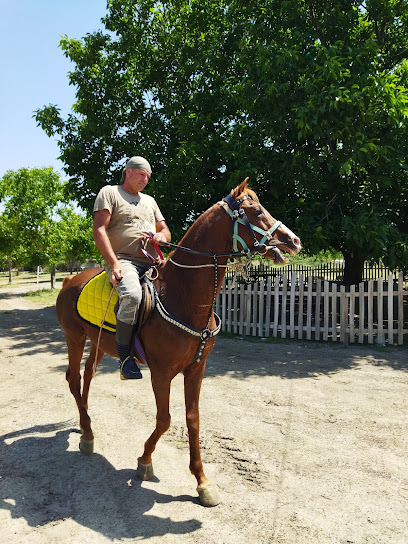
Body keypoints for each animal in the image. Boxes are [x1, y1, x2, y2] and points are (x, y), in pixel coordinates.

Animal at [55, 180, 302, 506]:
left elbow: (193, 420)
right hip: (74, 337)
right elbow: (164, 420)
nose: (294, 240)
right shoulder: (161, 374)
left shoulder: (196, 369)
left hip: (96, 344)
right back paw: (86, 435)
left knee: (87, 376)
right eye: (257, 210)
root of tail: (69, 280)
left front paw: (202, 482)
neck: (179, 294)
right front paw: (145, 461)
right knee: (73, 378)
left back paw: (87, 427)